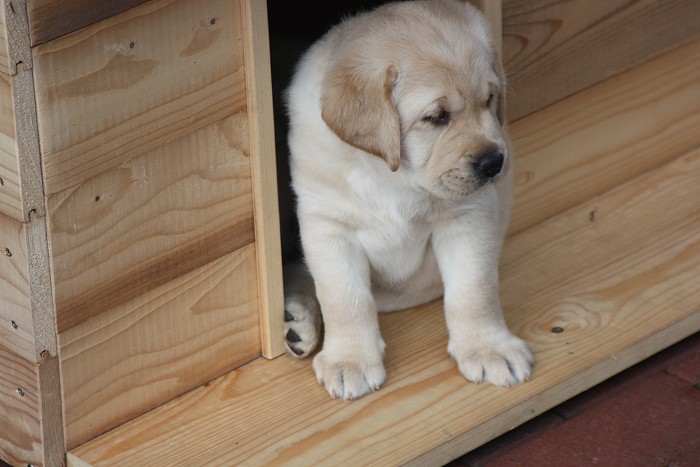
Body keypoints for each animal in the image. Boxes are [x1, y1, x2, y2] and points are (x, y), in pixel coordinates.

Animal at [283, 0, 533, 400]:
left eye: (489, 100)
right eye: (436, 117)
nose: (494, 162)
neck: (394, 177)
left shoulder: (470, 217)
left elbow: (474, 290)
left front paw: (489, 347)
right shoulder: (327, 226)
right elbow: (344, 297)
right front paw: (349, 360)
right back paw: (298, 319)